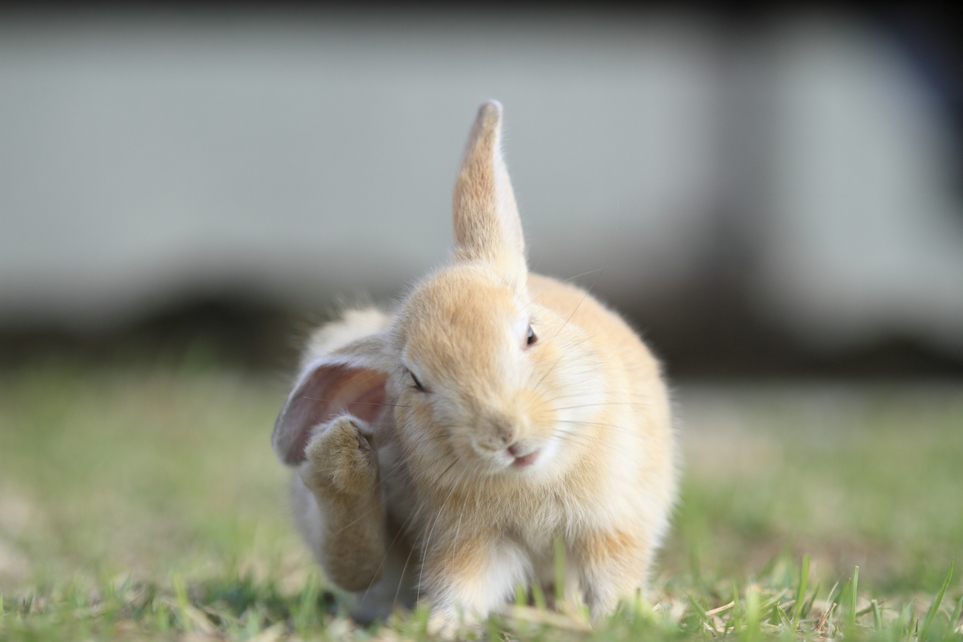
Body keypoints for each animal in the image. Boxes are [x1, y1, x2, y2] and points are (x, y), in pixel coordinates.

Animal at [272, 102, 676, 632]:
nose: (506, 435)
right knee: (357, 566)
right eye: (416, 382)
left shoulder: (612, 523)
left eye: (529, 335)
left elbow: (613, 578)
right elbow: (463, 585)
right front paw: (445, 627)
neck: (531, 479)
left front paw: (623, 620)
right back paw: (338, 460)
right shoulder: (468, 541)